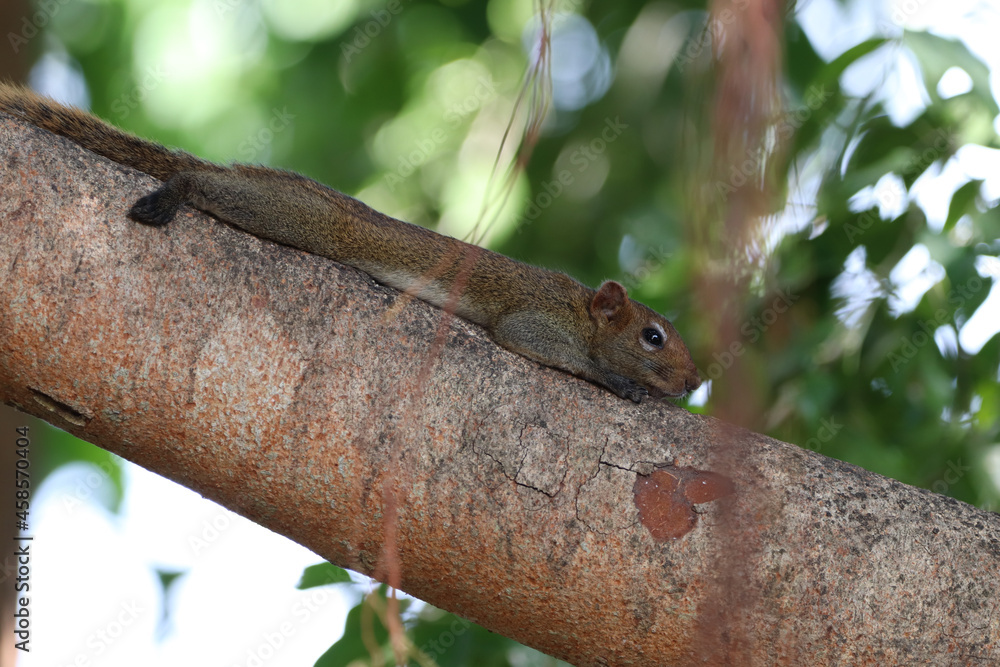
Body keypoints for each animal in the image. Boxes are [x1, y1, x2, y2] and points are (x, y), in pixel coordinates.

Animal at [0, 83, 701, 402]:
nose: (696, 380)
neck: (582, 309)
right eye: (653, 336)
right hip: (297, 217)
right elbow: (540, 345)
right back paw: (177, 187)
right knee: (205, 182)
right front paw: (618, 381)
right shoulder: (536, 317)